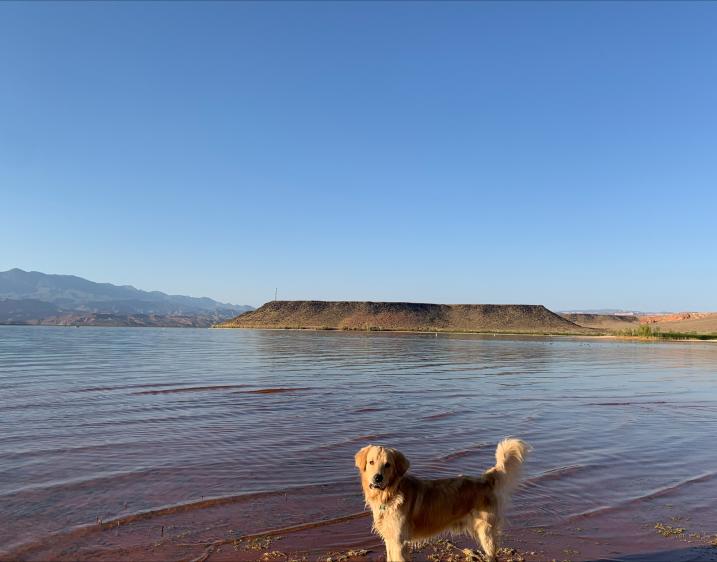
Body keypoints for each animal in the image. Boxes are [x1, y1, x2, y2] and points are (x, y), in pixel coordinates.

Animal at [356, 438, 528, 560]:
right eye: (371, 462)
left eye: (388, 465)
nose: (377, 478)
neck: (391, 494)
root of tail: (485, 479)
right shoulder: (389, 539)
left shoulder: (400, 542)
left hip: (486, 532)